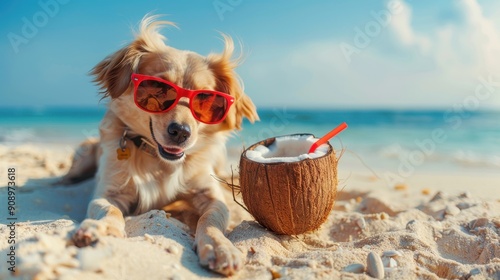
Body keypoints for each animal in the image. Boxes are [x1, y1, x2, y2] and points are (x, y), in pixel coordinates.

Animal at [62, 15, 258, 276]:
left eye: (205, 99)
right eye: (158, 89)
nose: (181, 132)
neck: (158, 160)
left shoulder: (211, 195)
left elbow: (212, 219)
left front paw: (220, 246)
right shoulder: (109, 193)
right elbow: (110, 210)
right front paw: (100, 228)